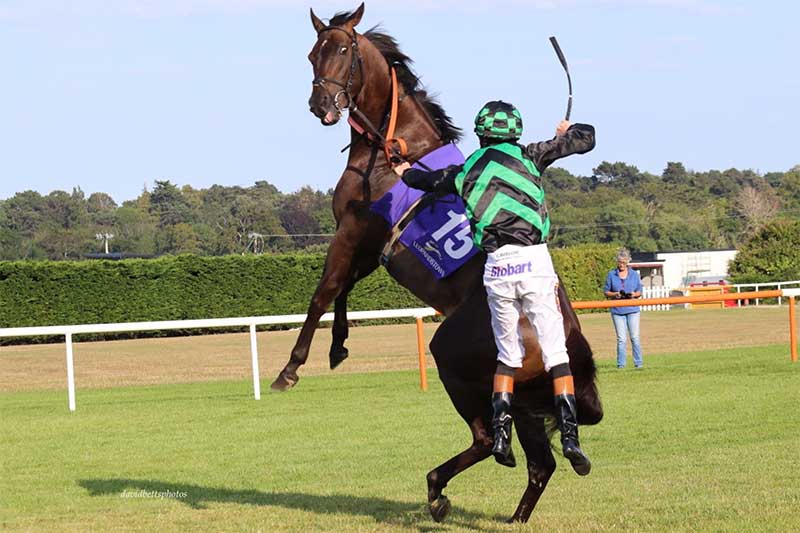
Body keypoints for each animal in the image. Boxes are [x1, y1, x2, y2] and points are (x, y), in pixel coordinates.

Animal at [272, 3, 604, 520]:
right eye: (313, 53)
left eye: (343, 50)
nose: (321, 104)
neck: (395, 150)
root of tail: (566, 339)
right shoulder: (375, 248)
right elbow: (344, 290)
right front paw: (339, 346)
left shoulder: (352, 231)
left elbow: (325, 291)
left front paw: (292, 368)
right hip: (526, 399)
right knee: (540, 463)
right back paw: (508, 514)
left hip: (456, 358)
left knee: (489, 439)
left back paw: (438, 489)